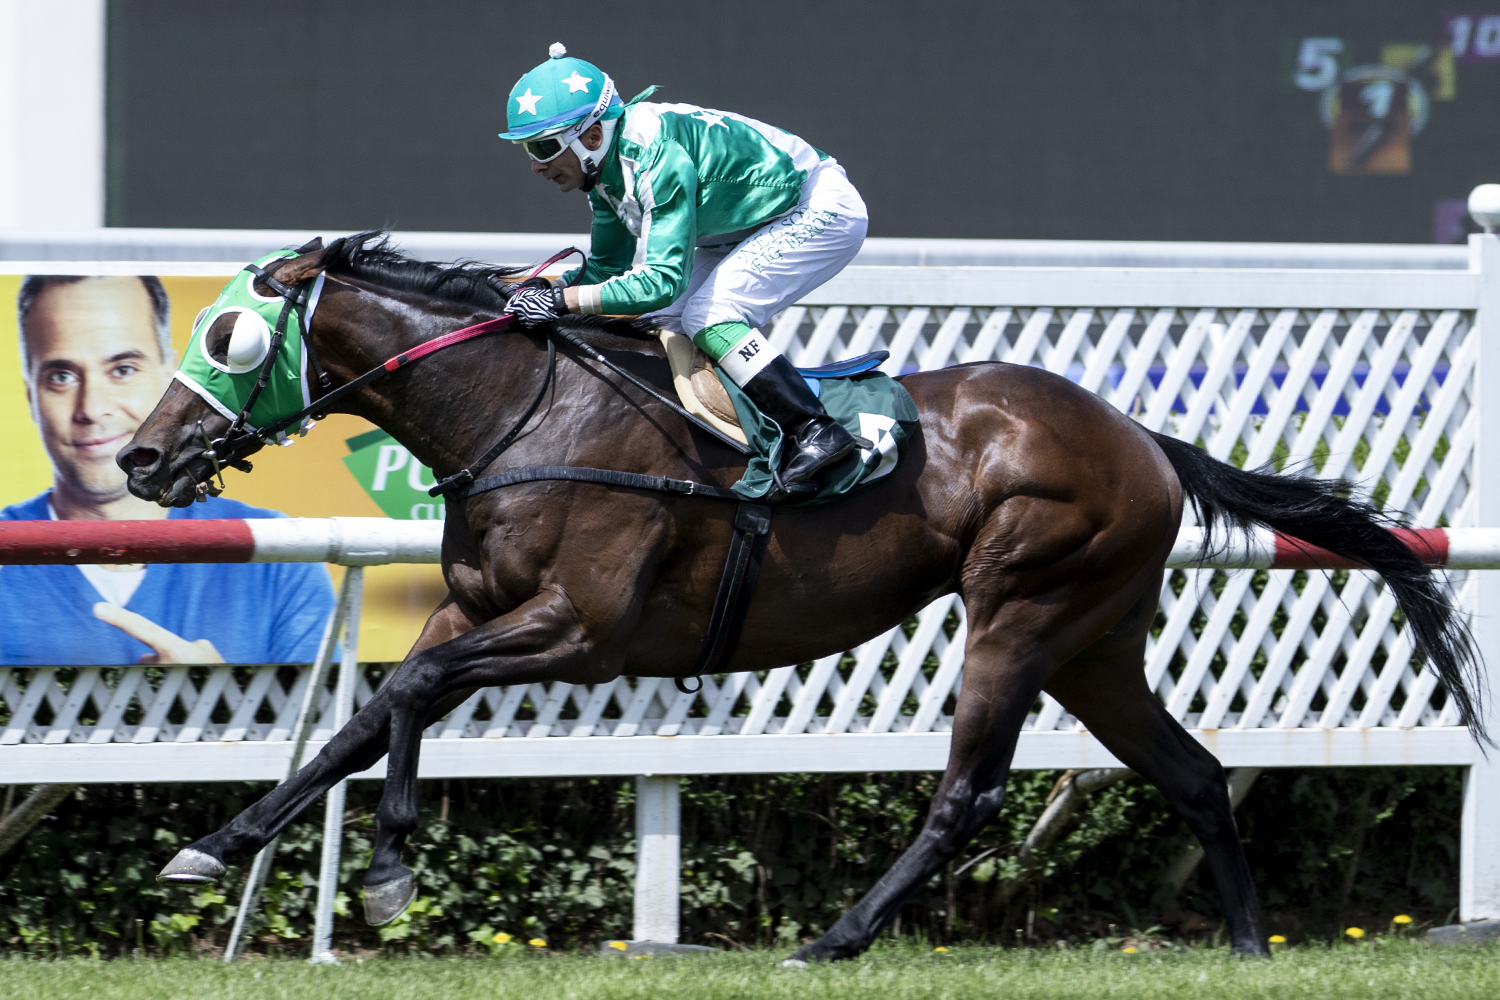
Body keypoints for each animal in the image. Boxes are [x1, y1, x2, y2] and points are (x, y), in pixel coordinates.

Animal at [120, 233, 1482, 961]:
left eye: (233, 339)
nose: (141, 458)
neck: (533, 417)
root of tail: (1143, 436)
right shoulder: (479, 610)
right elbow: (365, 716)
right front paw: (212, 844)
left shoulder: (583, 634)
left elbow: (405, 686)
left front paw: (394, 870)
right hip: (1099, 643)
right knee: (1194, 770)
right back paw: (1247, 946)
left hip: (1021, 607)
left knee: (970, 793)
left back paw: (834, 936)